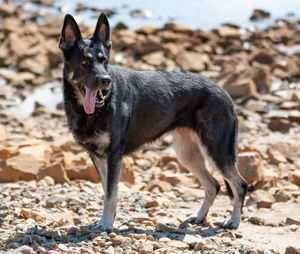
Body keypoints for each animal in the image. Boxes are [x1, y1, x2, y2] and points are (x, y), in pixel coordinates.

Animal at [58, 13, 248, 232]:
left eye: (104, 61)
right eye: (84, 62)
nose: (106, 81)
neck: (95, 109)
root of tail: (224, 92)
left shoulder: (114, 154)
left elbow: (110, 193)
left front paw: (106, 224)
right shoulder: (97, 156)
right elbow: (107, 191)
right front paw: (109, 219)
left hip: (217, 151)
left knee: (240, 185)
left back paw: (234, 221)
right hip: (187, 154)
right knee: (213, 185)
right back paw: (200, 217)